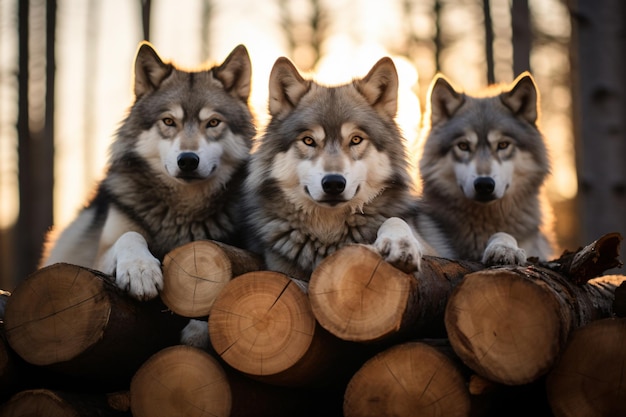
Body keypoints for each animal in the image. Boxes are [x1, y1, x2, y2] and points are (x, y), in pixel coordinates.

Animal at [40, 43, 254, 302]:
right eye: (169, 121)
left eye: (213, 123)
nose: (188, 160)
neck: (181, 210)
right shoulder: (100, 256)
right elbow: (130, 236)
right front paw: (140, 271)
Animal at [241, 53, 426, 278]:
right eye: (309, 140)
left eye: (356, 139)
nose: (334, 183)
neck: (328, 234)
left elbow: (395, 220)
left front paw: (401, 245)